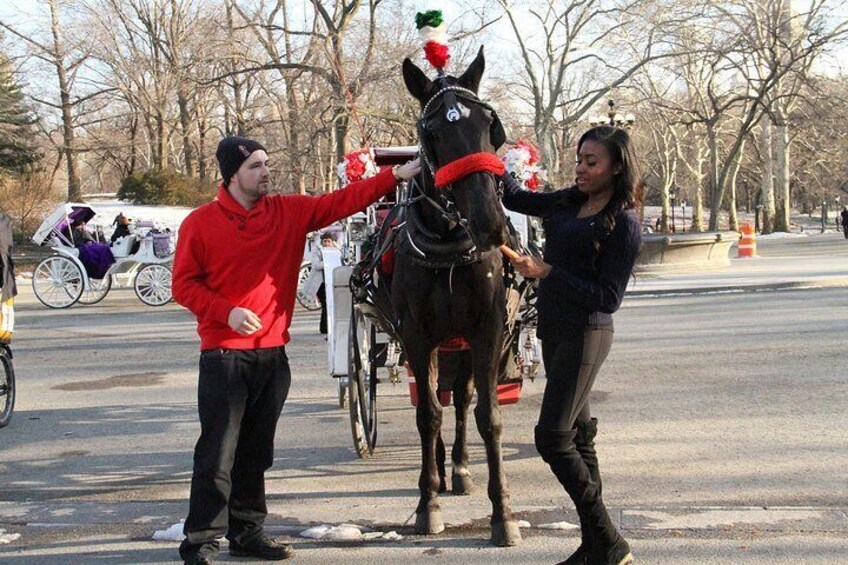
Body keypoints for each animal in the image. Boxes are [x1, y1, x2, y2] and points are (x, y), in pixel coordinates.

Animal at [394, 49, 520, 548]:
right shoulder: (415, 336)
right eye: (432, 134)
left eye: (490, 125)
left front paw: (502, 513)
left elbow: (488, 415)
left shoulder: (486, 330)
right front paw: (428, 503)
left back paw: (461, 467)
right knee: (436, 405)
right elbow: (428, 414)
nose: (490, 224)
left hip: (462, 344)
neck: (448, 245)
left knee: (463, 400)